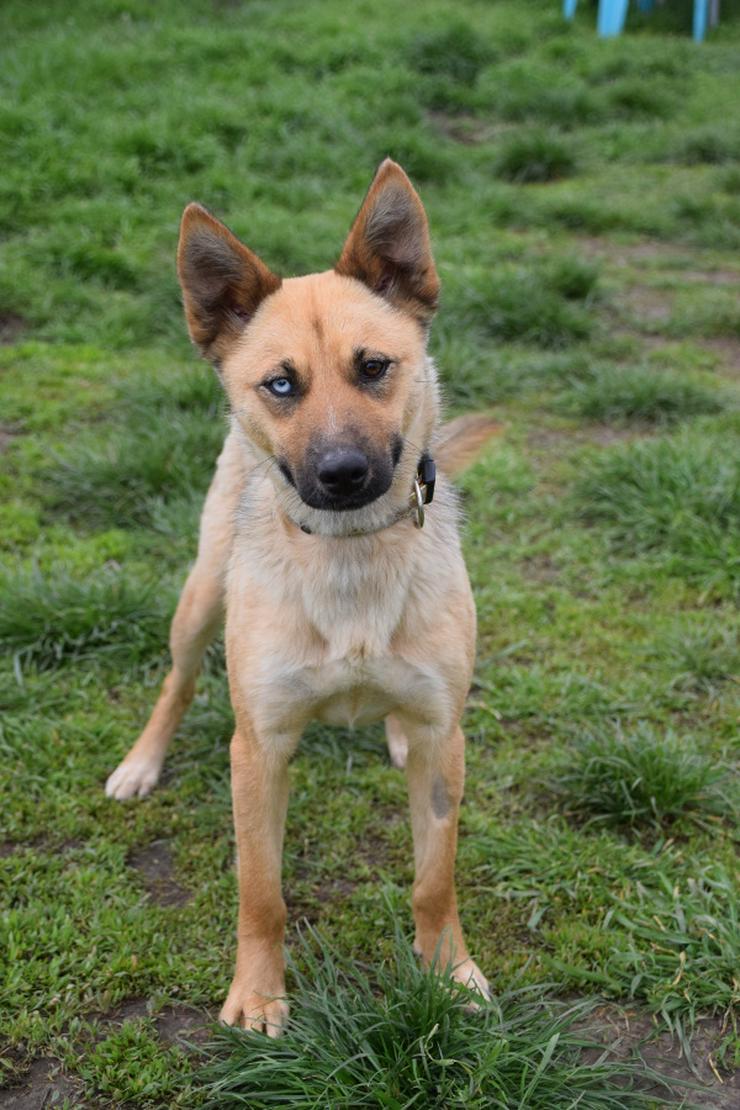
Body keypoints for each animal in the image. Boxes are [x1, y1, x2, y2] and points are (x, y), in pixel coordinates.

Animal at [105, 162, 497, 1030]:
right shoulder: (260, 749)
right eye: (281, 383)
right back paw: (141, 763)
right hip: (199, 598)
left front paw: (450, 972)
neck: (351, 559)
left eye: (374, 367)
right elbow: (263, 893)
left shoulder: (445, 741)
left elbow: (434, 879)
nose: (343, 473)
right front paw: (257, 995)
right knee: (177, 680)